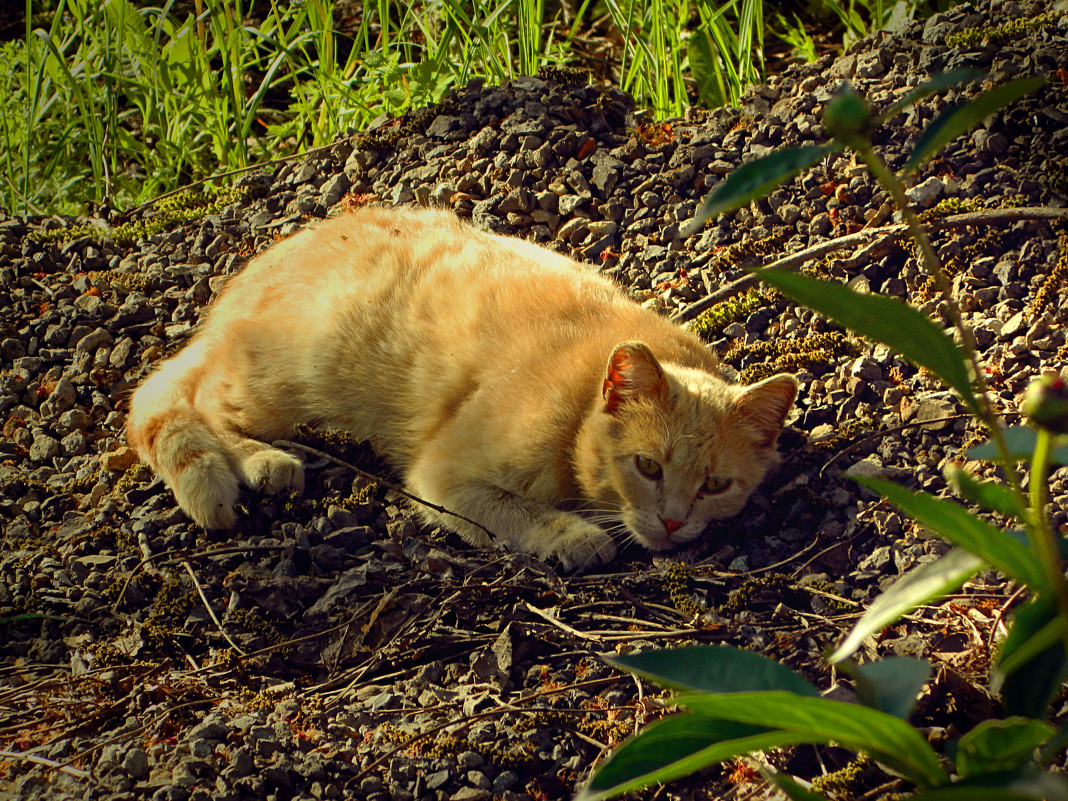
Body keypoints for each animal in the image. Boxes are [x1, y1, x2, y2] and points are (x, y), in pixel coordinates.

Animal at [124, 207, 798, 572]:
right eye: (648, 467)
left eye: (715, 486)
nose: (673, 521)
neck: (579, 402)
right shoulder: (441, 478)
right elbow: (516, 512)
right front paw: (575, 535)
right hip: (284, 381)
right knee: (203, 403)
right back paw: (262, 460)